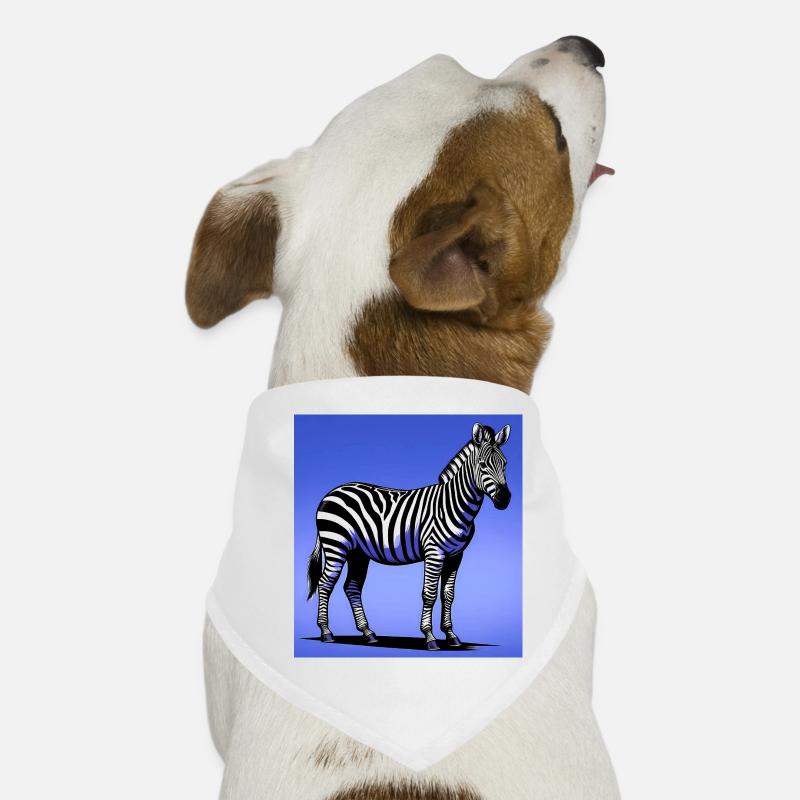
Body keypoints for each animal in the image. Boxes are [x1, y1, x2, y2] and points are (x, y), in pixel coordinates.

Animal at [306, 422, 511, 651]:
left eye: (505, 464)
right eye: (483, 465)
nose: (505, 499)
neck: (454, 504)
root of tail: (330, 493)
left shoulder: (455, 555)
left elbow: (448, 595)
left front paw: (451, 635)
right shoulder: (434, 552)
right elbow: (429, 594)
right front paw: (430, 636)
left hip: (358, 552)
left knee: (351, 587)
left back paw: (368, 632)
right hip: (336, 545)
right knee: (325, 584)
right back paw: (326, 632)